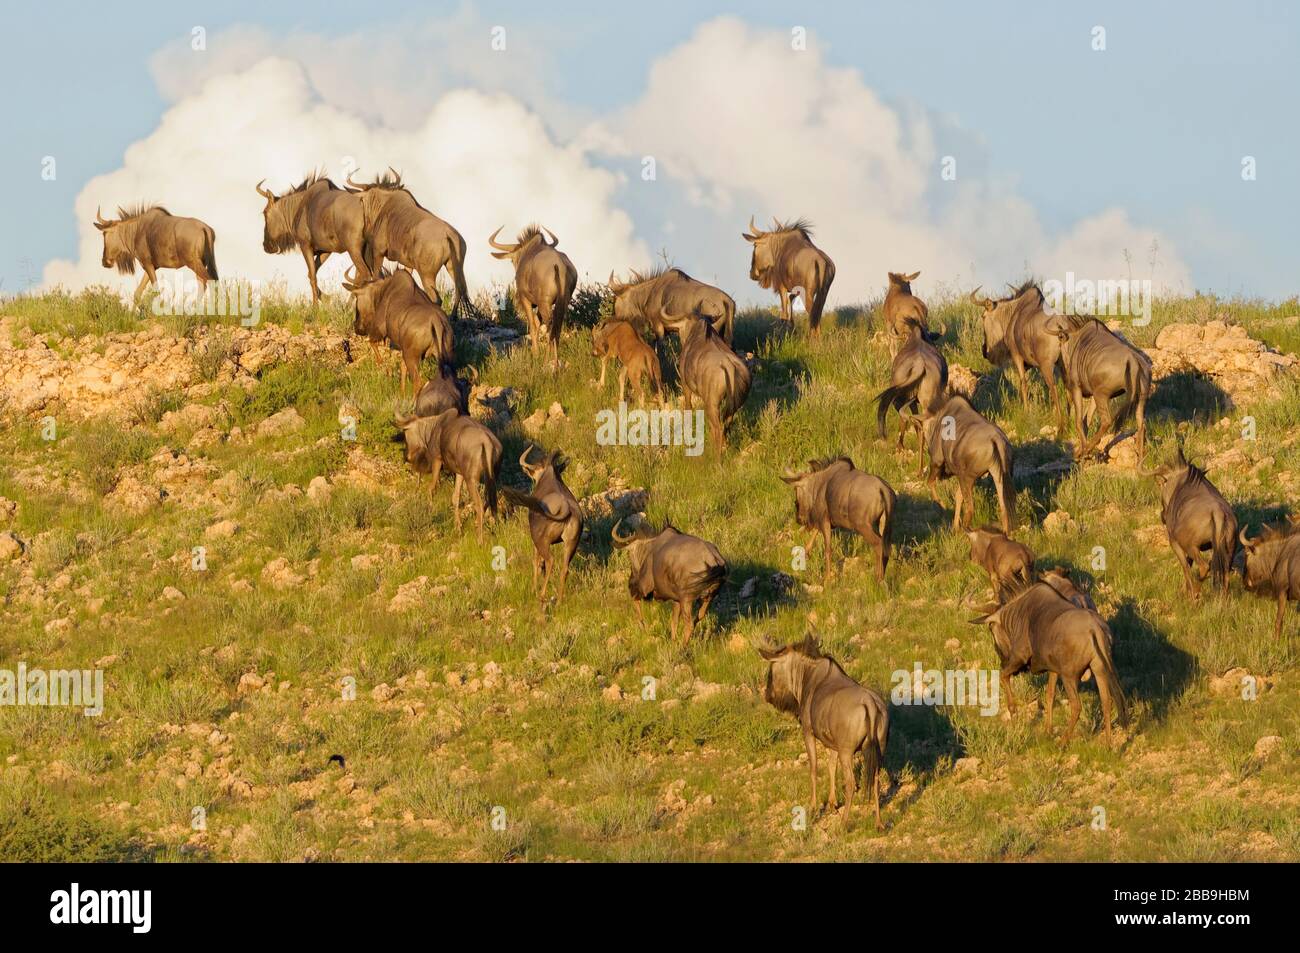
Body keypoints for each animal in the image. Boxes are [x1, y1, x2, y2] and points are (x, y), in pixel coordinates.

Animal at [392, 410, 499, 543]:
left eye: (405, 434)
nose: (407, 457)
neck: (434, 426)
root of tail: (487, 443)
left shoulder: (437, 459)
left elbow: (431, 488)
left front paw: (430, 511)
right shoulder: (459, 472)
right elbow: (455, 497)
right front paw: (458, 528)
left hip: (471, 480)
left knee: (479, 504)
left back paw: (480, 540)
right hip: (492, 477)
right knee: (492, 500)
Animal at [499, 444, 582, 595]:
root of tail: (566, 508)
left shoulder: (535, 541)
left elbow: (536, 562)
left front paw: (533, 588)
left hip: (542, 542)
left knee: (549, 561)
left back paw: (542, 594)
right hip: (570, 543)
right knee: (564, 569)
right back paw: (559, 598)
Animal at [759, 634, 889, 826]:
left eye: (771, 670)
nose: (768, 696)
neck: (808, 676)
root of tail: (871, 705)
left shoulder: (808, 732)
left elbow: (814, 768)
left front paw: (813, 807)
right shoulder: (832, 744)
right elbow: (831, 767)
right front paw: (832, 803)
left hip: (847, 751)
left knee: (851, 783)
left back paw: (843, 824)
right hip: (878, 750)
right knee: (875, 780)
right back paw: (879, 823)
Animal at [972, 579, 1123, 743]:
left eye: (991, 628)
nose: (1002, 660)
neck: (1018, 613)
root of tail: (1095, 629)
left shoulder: (1019, 658)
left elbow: (1002, 675)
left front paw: (1013, 712)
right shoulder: (1053, 669)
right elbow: (1050, 695)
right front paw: (1048, 730)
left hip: (1069, 676)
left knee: (1077, 706)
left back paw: (1063, 742)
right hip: (1099, 670)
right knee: (1106, 702)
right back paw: (1108, 744)